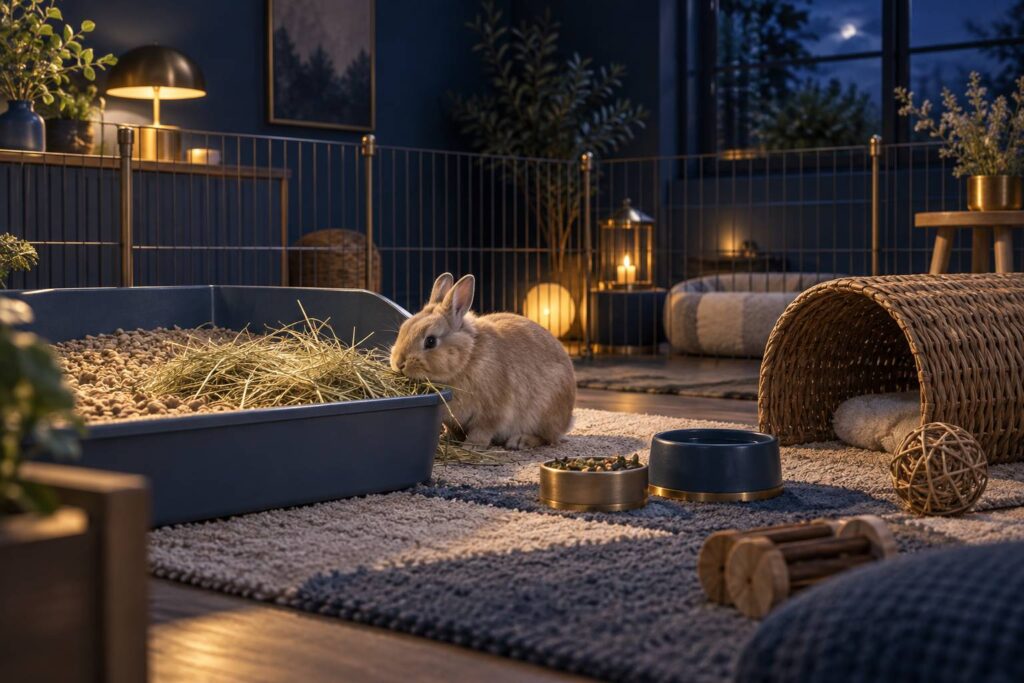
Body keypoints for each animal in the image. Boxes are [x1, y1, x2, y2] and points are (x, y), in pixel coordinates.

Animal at [390, 272, 576, 449]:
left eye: (430, 341)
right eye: (403, 329)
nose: (399, 364)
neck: (467, 357)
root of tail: (568, 418)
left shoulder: (492, 412)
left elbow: (483, 430)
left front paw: (472, 445)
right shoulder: (452, 419)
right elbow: (453, 428)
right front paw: (447, 438)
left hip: (544, 414)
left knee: (548, 438)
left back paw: (519, 441)